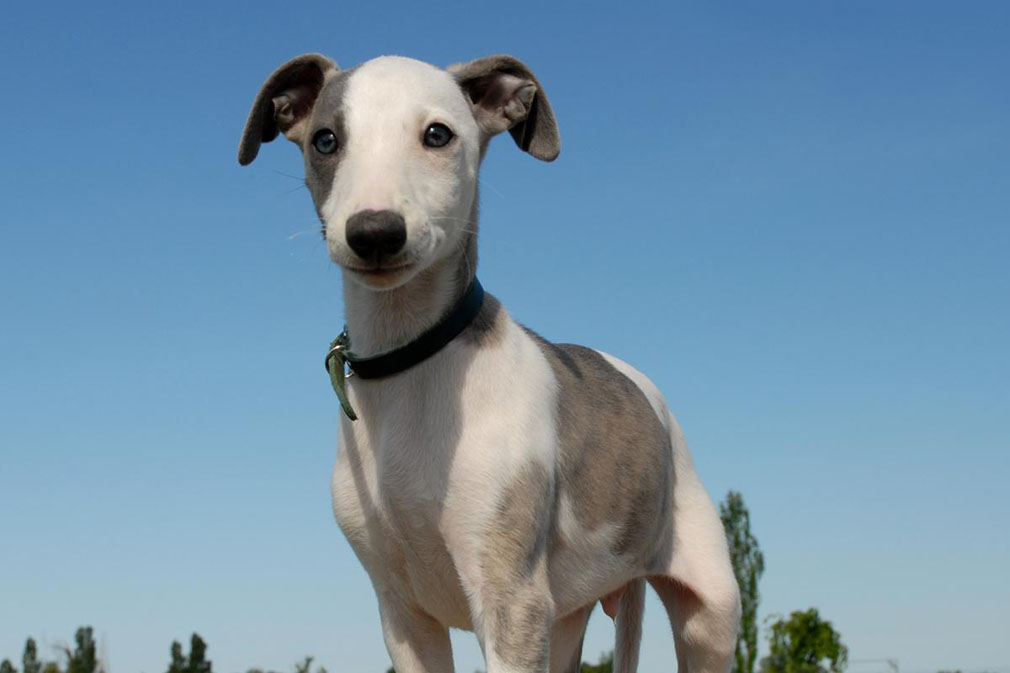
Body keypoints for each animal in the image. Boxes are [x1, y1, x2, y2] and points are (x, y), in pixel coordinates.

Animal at [239, 53, 739, 670]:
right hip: (565, 622)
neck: (411, 365)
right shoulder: (402, 613)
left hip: (708, 614)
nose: (374, 233)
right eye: (326, 140)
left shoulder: (509, 599)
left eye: (438, 134)